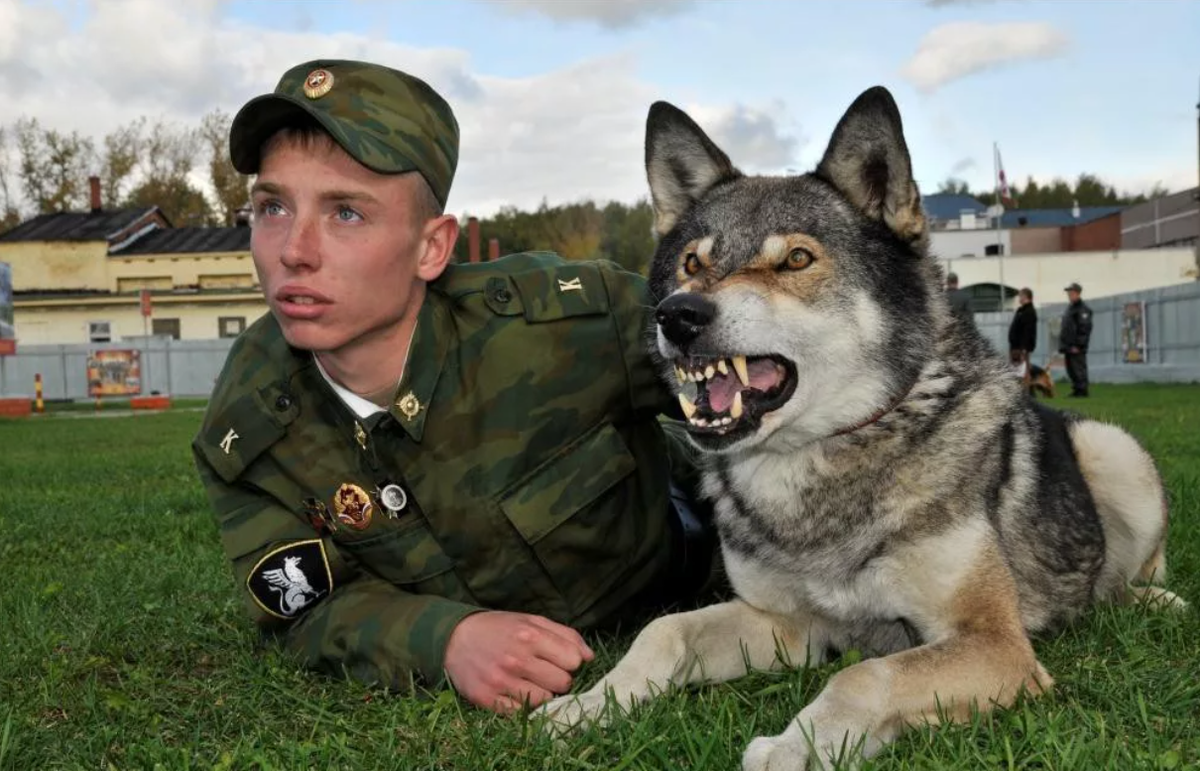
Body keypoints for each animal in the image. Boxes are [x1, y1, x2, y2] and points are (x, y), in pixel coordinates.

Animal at [542, 84, 1180, 763]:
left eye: (796, 259)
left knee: (1124, 577)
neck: (814, 457)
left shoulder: (995, 642)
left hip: (1113, 450)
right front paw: (586, 707)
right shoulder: (788, 625)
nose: (677, 315)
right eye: (692, 263)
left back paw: (1154, 599)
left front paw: (795, 749)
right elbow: (663, 632)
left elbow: (866, 675)